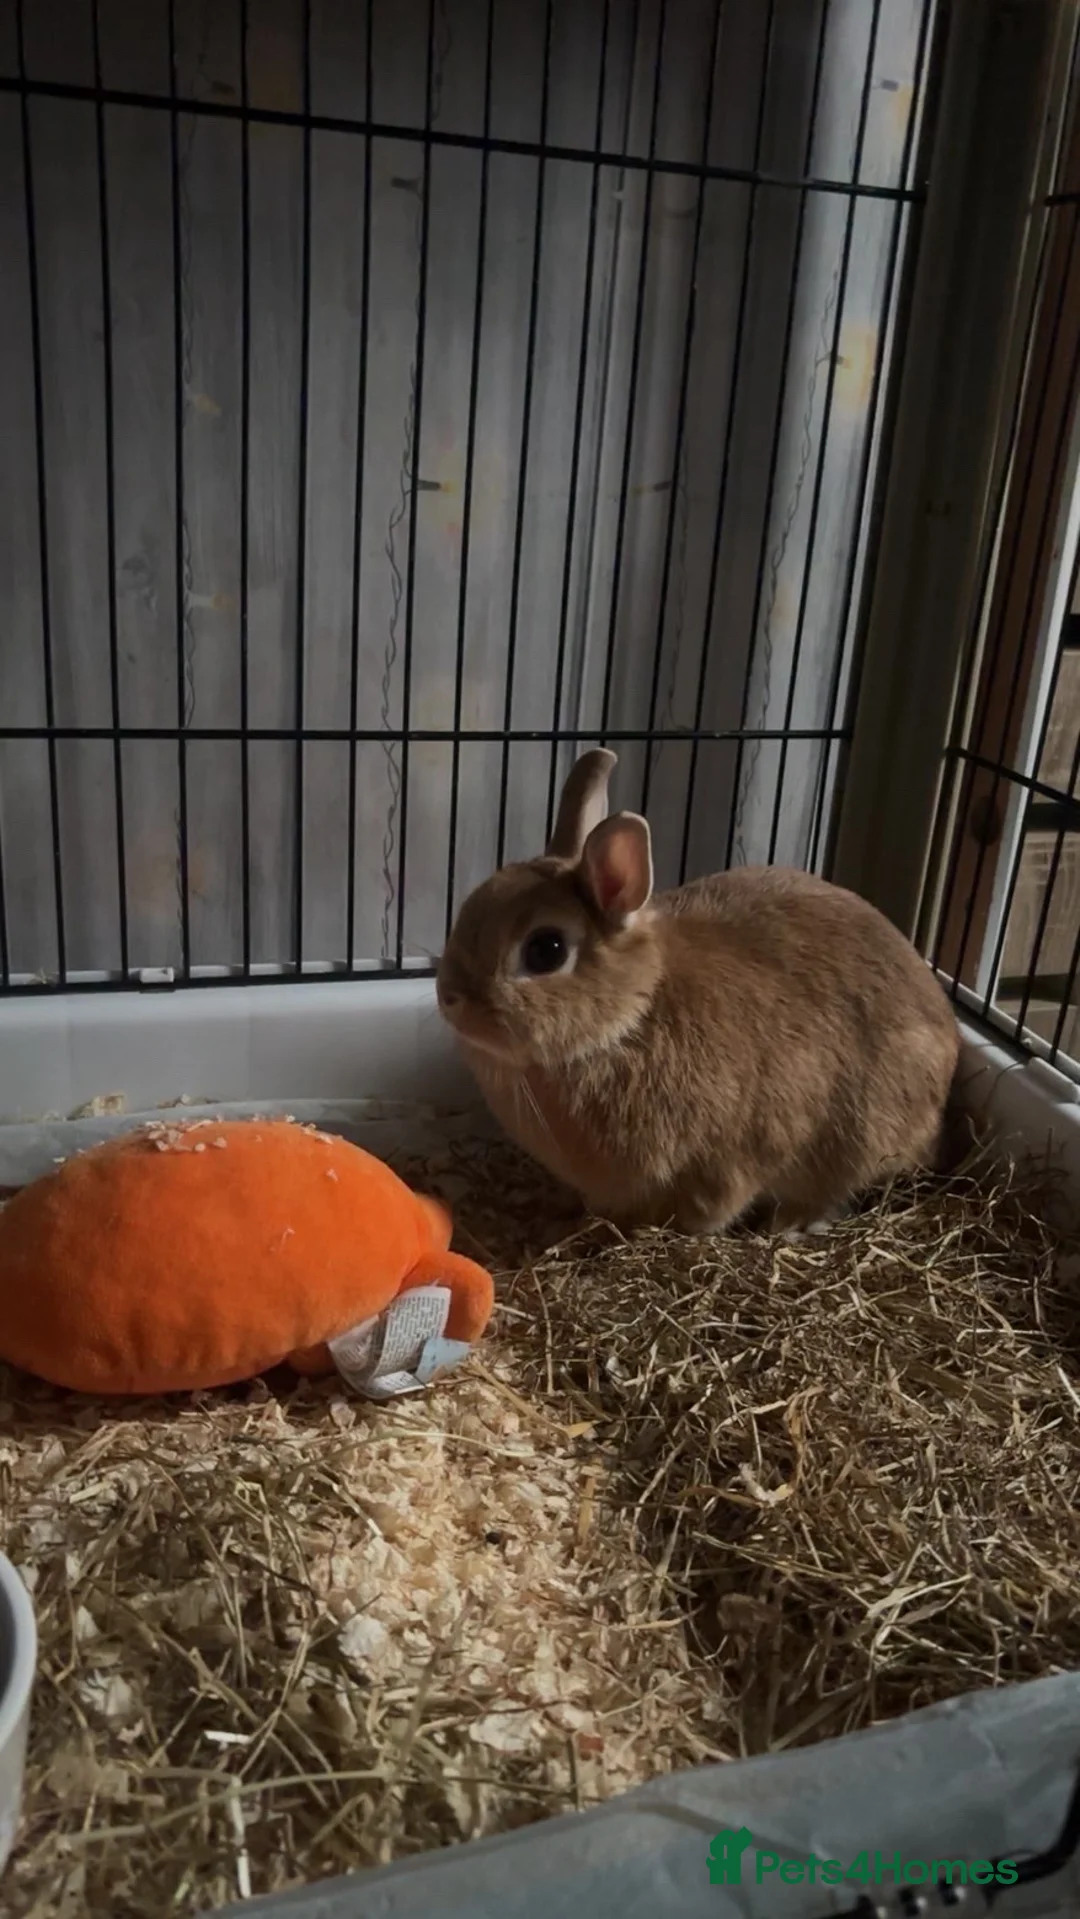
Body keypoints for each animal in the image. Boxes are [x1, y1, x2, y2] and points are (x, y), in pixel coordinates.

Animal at [436, 748, 962, 1236]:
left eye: (546, 950)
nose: (448, 997)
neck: (629, 1019)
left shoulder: (727, 1159)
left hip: (865, 1132)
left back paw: (792, 1223)